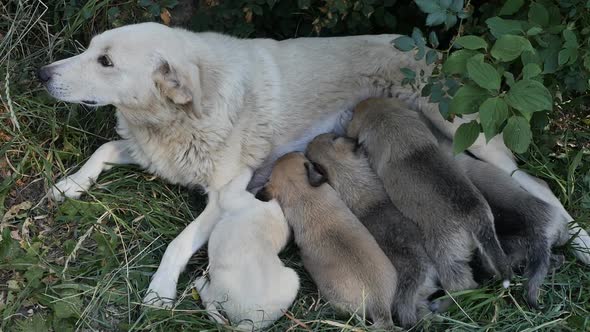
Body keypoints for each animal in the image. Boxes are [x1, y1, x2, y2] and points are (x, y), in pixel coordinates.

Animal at [193, 170, 298, 330]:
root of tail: (248, 322)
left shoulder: (233, 196)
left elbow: (241, 179)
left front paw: (246, 170)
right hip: (293, 279)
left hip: (218, 286)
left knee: (209, 300)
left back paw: (200, 283)